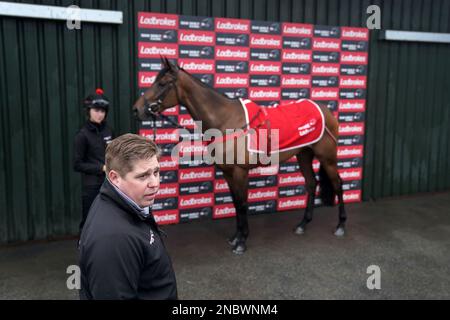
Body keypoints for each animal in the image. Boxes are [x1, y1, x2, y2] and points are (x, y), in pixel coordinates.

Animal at [132, 56, 346, 254]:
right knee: (311, 183)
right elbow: (235, 203)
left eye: (162, 83)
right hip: (304, 155)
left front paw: (242, 242)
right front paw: (236, 237)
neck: (225, 121)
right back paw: (302, 225)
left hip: (327, 158)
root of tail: (327, 111)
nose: (137, 109)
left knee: (338, 184)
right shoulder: (228, 172)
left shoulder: (240, 171)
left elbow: (242, 203)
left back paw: (340, 226)